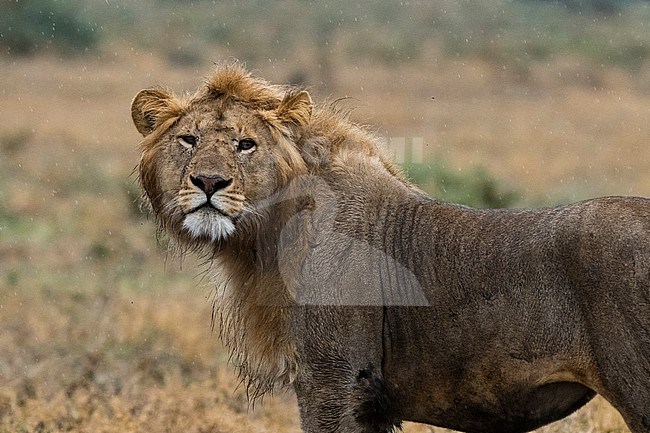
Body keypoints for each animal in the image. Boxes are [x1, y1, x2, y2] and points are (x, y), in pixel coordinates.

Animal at [132, 61, 648, 432]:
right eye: (188, 140)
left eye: (245, 144)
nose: (209, 182)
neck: (266, 239)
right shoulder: (367, 400)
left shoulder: (334, 378)